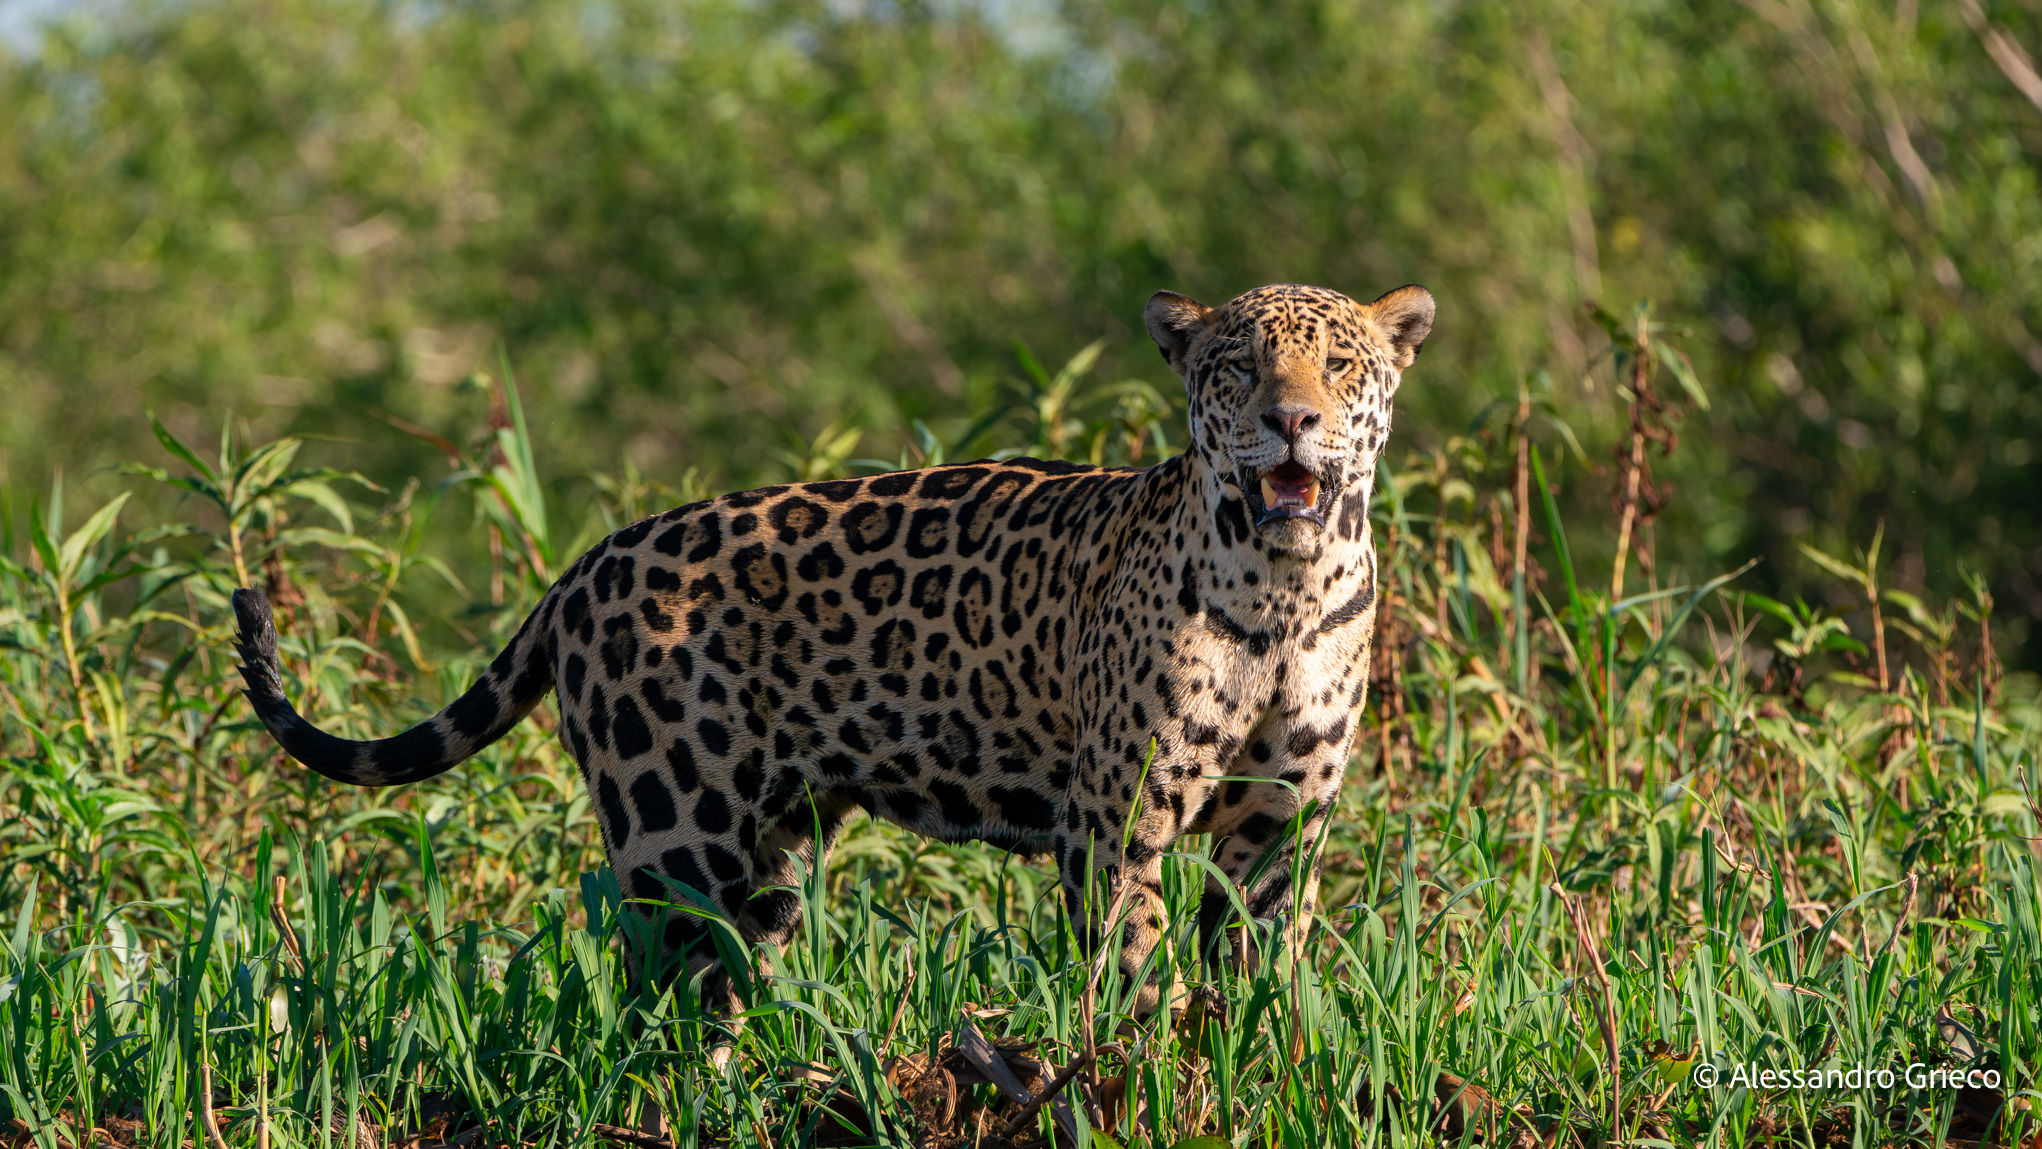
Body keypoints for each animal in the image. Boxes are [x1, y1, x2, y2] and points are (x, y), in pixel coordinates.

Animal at [231, 280, 1435, 1016]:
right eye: (1235, 369)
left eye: (1338, 365)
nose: (1290, 421)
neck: (1284, 589)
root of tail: (589, 560)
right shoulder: (1116, 817)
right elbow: (1131, 967)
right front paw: (1137, 1072)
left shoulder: (1280, 824)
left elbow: (1260, 976)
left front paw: (1248, 1065)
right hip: (673, 833)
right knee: (657, 998)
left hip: (774, 846)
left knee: (730, 981)